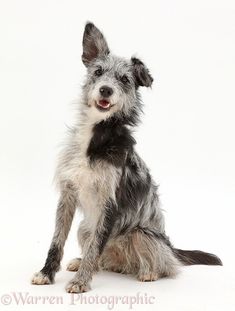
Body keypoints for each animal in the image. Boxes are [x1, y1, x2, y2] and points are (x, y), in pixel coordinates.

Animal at [31, 23, 222, 294]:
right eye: (98, 71)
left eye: (124, 79)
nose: (106, 90)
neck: (97, 136)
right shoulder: (67, 195)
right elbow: (57, 241)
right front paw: (47, 273)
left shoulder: (110, 203)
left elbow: (95, 246)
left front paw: (81, 281)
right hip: (84, 227)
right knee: (101, 256)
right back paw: (82, 261)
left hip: (142, 233)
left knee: (166, 264)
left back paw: (149, 272)